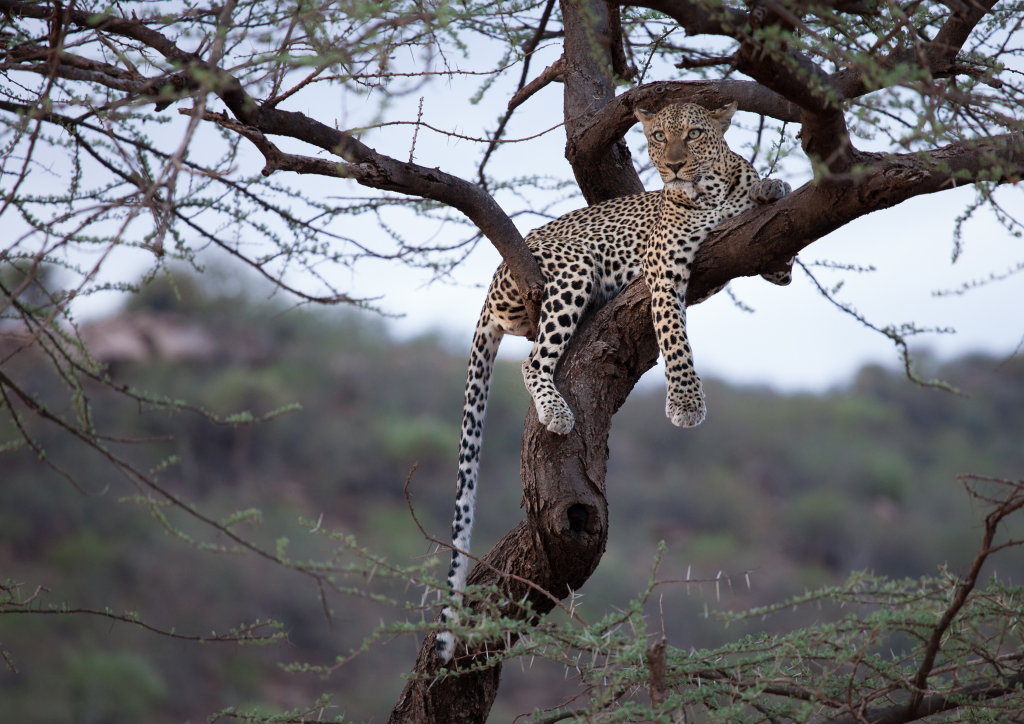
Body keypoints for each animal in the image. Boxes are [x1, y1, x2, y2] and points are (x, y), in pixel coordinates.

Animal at [436, 101, 793, 663]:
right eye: (656, 136)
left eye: (694, 133)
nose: (672, 167)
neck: (711, 188)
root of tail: (492, 283)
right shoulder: (665, 267)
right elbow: (674, 336)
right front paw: (686, 403)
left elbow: (776, 251)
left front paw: (771, 186)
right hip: (571, 271)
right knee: (532, 360)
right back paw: (557, 413)